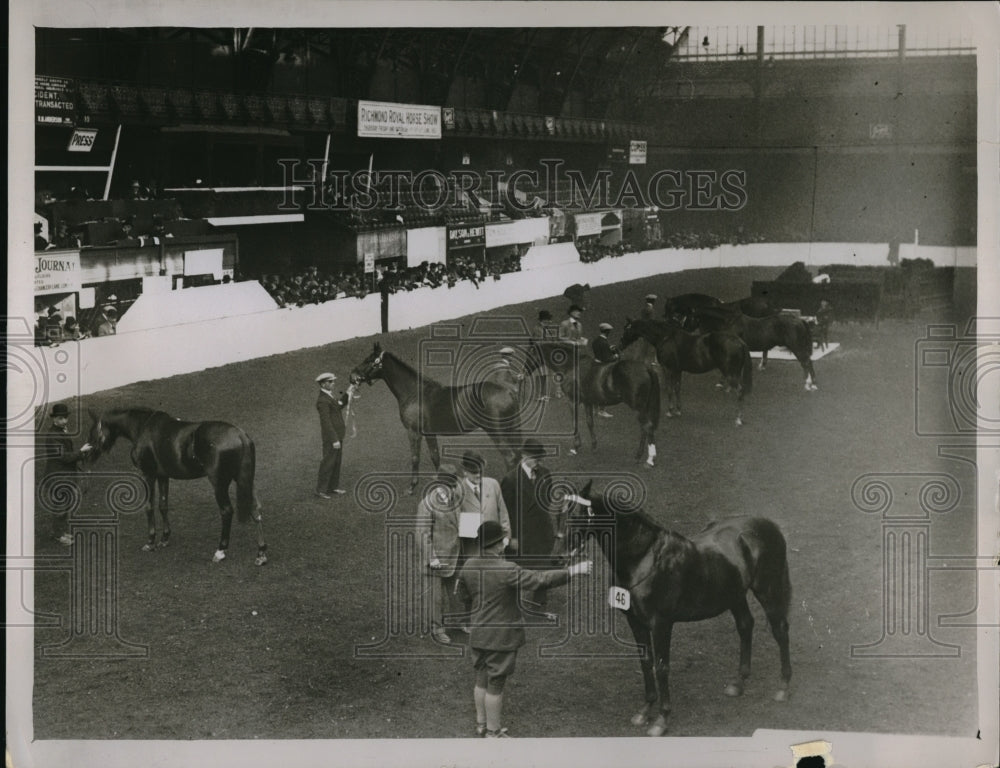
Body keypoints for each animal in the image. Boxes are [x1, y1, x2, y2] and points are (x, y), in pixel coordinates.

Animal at [88, 408, 268, 564]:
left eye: (93, 432)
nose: (87, 454)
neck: (142, 427)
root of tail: (241, 436)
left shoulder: (148, 474)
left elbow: (149, 507)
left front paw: (150, 542)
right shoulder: (163, 476)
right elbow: (163, 505)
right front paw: (164, 538)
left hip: (219, 482)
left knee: (227, 511)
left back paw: (220, 550)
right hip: (244, 479)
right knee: (255, 509)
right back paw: (261, 553)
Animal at [350, 342, 524, 492]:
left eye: (369, 360)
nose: (352, 376)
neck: (414, 393)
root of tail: (508, 391)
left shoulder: (413, 432)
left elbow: (415, 457)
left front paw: (412, 487)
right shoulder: (429, 433)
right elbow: (435, 457)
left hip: (496, 432)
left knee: (510, 457)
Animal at [520, 342, 660, 468]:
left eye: (531, 353)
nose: (522, 373)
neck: (571, 366)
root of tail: (646, 368)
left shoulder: (572, 401)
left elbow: (575, 423)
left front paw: (575, 447)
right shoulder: (588, 402)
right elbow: (589, 422)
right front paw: (594, 446)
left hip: (638, 408)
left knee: (647, 427)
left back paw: (648, 459)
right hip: (643, 408)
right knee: (645, 429)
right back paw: (640, 456)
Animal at [564, 480, 788, 736]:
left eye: (578, 514)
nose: (562, 549)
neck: (643, 559)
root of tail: (769, 525)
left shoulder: (661, 623)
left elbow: (662, 667)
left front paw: (661, 720)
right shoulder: (636, 621)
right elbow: (646, 662)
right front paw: (644, 711)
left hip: (768, 591)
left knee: (780, 630)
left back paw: (783, 688)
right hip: (735, 595)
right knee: (745, 626)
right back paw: (738, 683)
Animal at [616, 318, 752, 426]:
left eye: (626, 329)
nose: (619, 345)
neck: (665, 337)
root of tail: (740, 342)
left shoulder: (668, 369)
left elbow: (670, 389)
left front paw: (670, 411)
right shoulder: (678, 370)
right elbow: (677, 388)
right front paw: (678, 410)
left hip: (731, 374)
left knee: (740, 391)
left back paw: (738, 419)